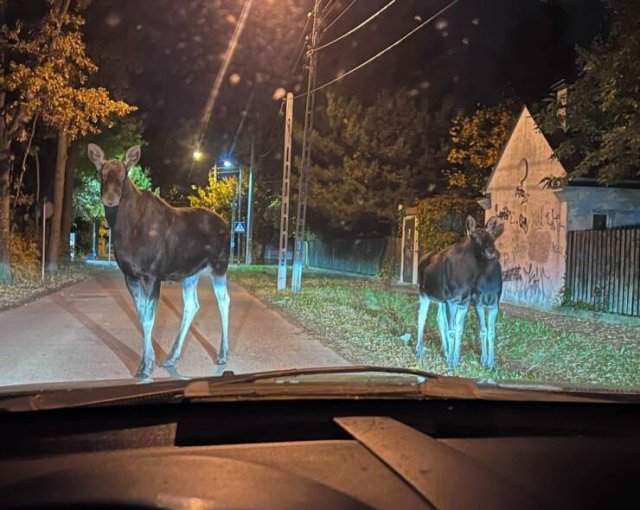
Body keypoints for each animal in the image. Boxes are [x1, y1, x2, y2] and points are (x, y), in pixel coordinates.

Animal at [88, 143, 230, 378]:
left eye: (124, 174)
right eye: (101, 172)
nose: (110, 198)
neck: (123, 230)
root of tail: (226, 226)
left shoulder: (151, 274)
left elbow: (148, 317)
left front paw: (146, 367)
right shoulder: (130, 275)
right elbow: (141, 315)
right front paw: (147, 363)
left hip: (219, 266)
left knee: (224, 301)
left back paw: (223, 354)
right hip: (189, 273)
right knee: (192, 304)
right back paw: (172, 357)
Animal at [416, 215, 504, 366]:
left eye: (492, 238)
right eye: (475, 237)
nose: (491, 251)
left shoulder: (465, 302)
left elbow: (459, 329)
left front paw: (456, 358)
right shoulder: (452, 300)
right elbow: (452, 330)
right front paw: (451, 363)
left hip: (440, 299)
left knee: (439, 319)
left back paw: (445, 352)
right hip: (424, 292)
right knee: (422, 316)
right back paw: (420, 350)